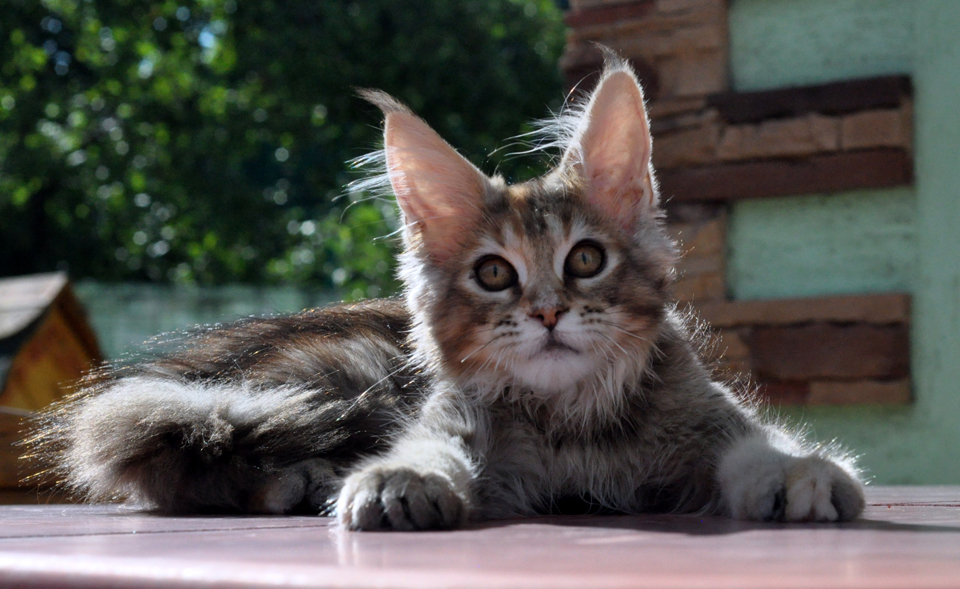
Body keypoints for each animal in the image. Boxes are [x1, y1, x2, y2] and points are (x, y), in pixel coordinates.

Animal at [33, 54, 868, 524]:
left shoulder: (707, 419)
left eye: (586, 259)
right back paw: (300, 483)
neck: (575, 426)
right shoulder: (453, 417)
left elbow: (761, 446)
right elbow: (426, 450)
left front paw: (799, 473)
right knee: (167, 469)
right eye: (494, 273)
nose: (549, 311)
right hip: (326, 382)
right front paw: (400, 481)